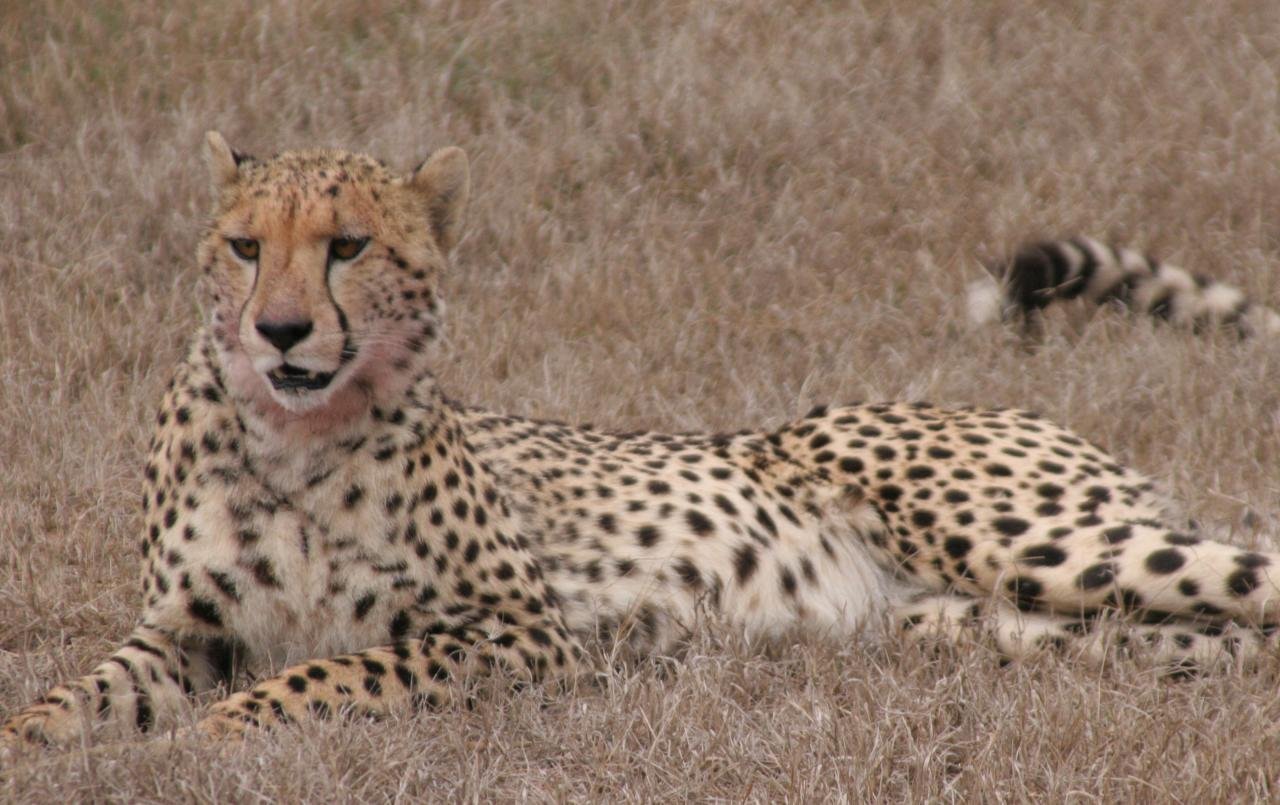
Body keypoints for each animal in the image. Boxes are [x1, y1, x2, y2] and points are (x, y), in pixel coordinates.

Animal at [6, 135, 1280, 749]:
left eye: (347, 246)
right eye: (241, 246)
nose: (278, 329)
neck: (292, 436)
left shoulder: (525, 633)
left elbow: (332, 667)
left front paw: (223, 733)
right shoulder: (187, 627)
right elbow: (91, 687)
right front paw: (39, 735)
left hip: (1044, 548)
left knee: (1243, 572)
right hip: (993, 627)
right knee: (1205, 636)